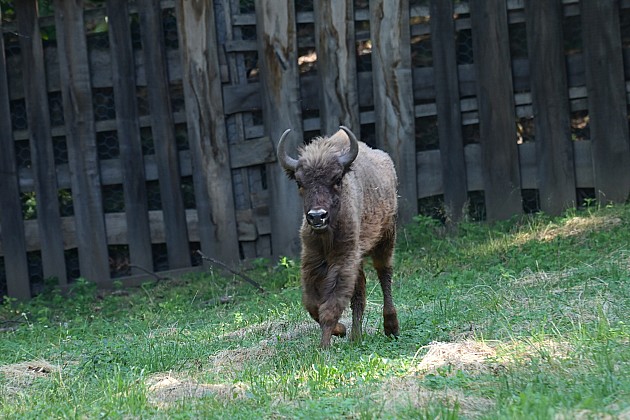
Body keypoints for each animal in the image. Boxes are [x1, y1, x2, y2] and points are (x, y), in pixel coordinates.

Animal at [278, 125, 402, 348]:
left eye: (336, 179)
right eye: (300, 182)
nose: (317, 216)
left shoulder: (344, 260)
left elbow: (332, 304)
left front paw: (324, 345)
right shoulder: (313, 259)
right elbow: (313, 305)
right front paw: (341, 330)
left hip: (386, 239)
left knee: (384, 274)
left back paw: (391, 327)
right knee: (360, 292)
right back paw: (356, 337)